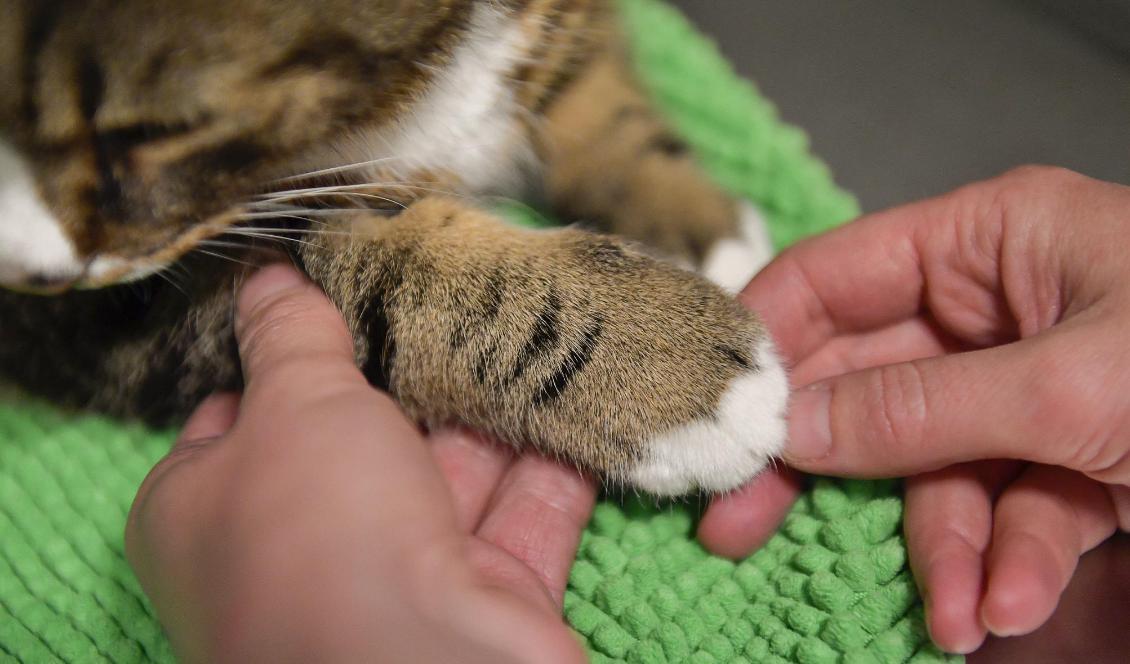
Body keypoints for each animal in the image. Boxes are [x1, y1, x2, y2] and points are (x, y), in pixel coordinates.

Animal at [0, 0, 791, 494]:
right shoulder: (102, 320)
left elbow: (588, 97)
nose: (31, 276)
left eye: (149, 133)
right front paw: (668, 374)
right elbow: (401, 266)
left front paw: (696, 224)